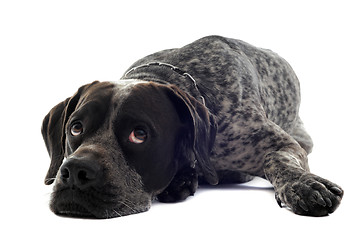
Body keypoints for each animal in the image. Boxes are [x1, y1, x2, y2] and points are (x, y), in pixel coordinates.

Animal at [42, 35, 344, 218]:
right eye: (75, 128)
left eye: (139, 134)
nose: (75, 171)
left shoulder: (276, 143)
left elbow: (279, 162)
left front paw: (304, 184)